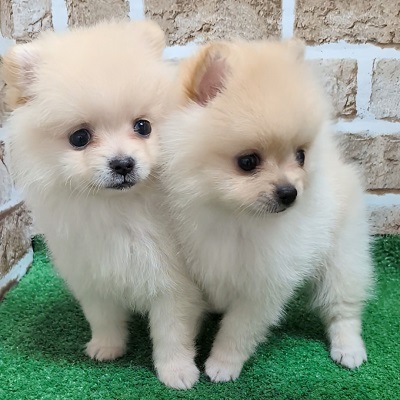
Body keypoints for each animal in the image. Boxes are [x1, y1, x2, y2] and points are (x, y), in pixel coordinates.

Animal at [3, 20, 204, 389]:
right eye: (80, 138)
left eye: (143, 127)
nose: (123, 163)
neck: (119, 208)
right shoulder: (93, 275)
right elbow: (103, 318)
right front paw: (107, 347)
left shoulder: (174, 284)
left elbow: (172, 332)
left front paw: (177, 371)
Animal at [159, 38, 373, 382]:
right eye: (248, 162)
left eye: (300, 156)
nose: (290, 193)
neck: (234, 218)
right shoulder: (188, 273)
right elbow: (179, 320)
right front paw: (179, 361)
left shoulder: (264, 285)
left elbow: (238, 330)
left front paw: (222, 364)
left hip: (343, 255)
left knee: (343, 305)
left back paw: (349, 347)